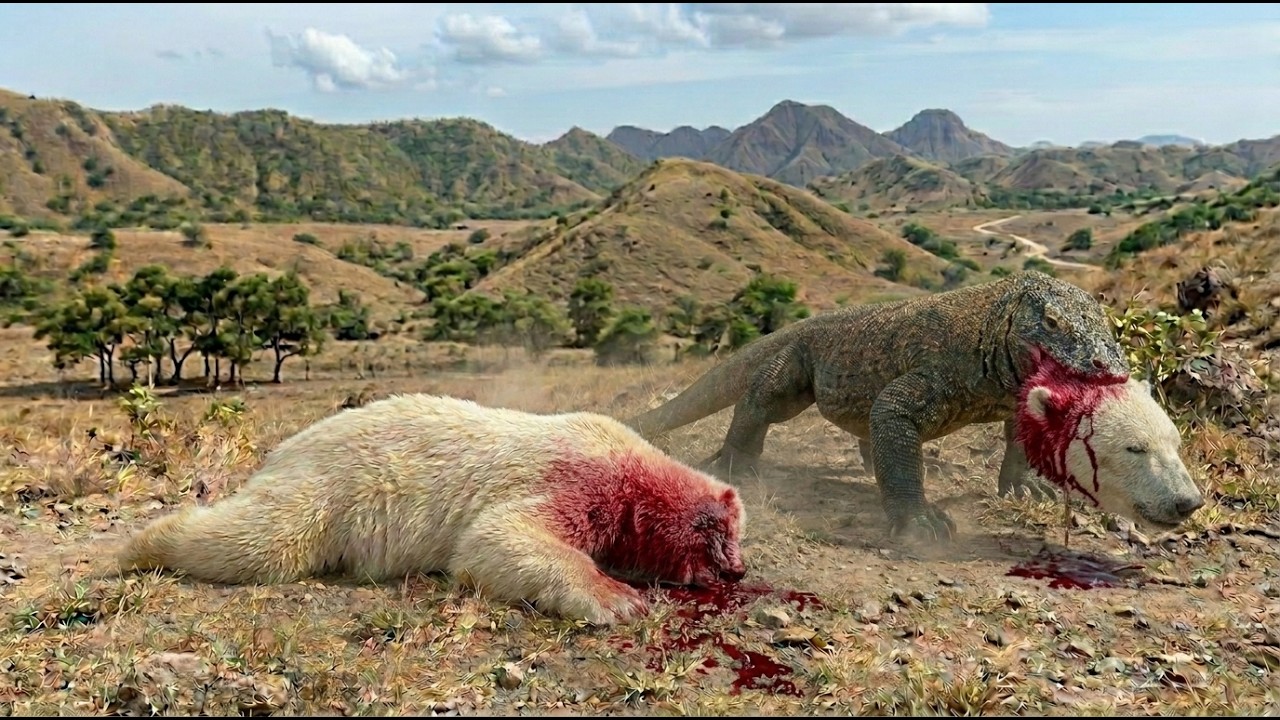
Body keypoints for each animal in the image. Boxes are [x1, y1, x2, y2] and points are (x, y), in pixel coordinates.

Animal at [102, 393, 748, 626]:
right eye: (722, 535)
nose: (739, 569)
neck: (628, 469)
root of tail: (285, 447)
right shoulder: (569, 474)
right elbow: (495, 537)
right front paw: (618, 598)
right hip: (326, 488)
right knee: (257, 540)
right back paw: (134, 546)